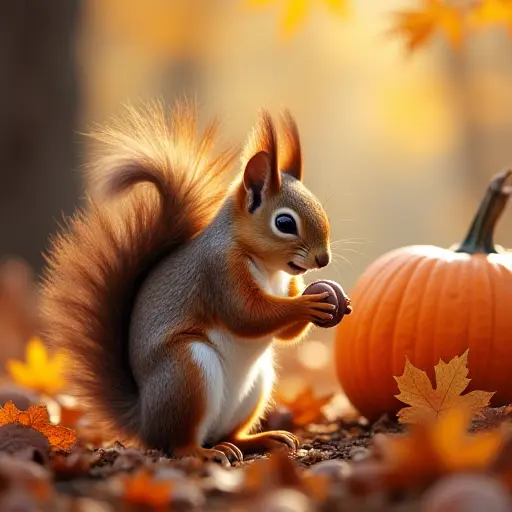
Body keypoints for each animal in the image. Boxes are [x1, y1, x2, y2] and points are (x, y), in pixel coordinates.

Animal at [42, 99, 340, 464]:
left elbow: (283, 333)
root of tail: (144, 421)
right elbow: (247, 315)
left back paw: (263, 440)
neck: (269, 269)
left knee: (230, 435)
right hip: (187, 372)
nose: (323, 260)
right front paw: (308, 303)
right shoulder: (218, 271)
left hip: (255, 387)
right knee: (178, 444)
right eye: (285, 223)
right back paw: (203, 453)